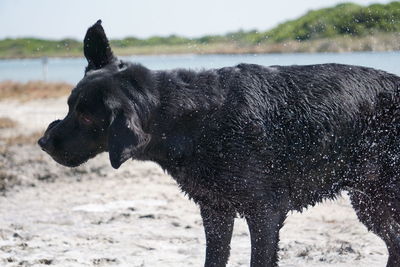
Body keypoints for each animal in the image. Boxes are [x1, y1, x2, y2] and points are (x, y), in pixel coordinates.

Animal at [38, 19, 400, 266]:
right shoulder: (215, 210)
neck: (193, 120)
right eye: (70, 106)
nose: (44, 142)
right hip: (370, 201)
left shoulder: (265, 212)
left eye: (86, 118)